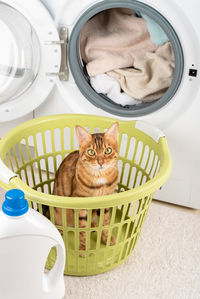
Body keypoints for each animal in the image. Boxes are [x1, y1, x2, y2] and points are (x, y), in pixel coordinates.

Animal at [52, 122, 119, 253]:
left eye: (108, 150)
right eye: (91, 152)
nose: (101, 162)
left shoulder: (106, 203)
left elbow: (105, 223)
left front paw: (106, 239)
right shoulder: (80, 203)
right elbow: (82, 230)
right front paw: (83, 248)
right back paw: (60, 230)